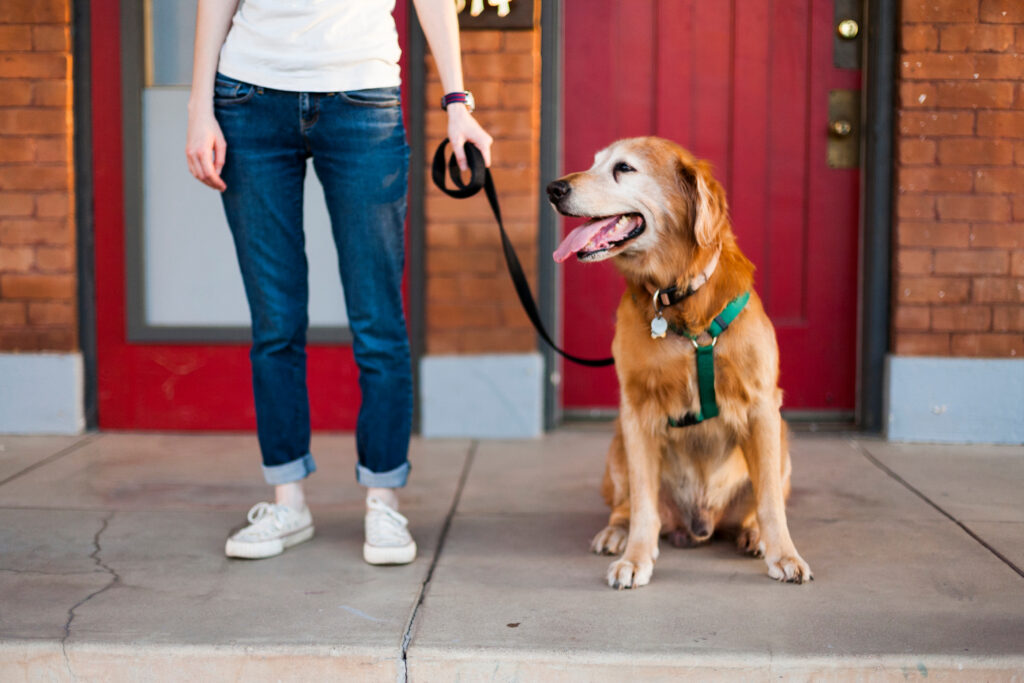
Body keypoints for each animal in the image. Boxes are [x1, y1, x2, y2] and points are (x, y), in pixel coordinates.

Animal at [548, 137, 811, 589]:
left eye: (624, 168)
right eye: (593, 163)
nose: (553, 189)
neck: (676, 298)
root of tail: (700, 523)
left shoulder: (762, 406)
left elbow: (770, 503)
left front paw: (784, 554)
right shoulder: (636, 412)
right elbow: (643, 503)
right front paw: (636, 558)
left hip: (781, 439)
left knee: (757, 503)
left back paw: (753, 534)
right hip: (617, 441)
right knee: (628, 506)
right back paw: (616, 533)